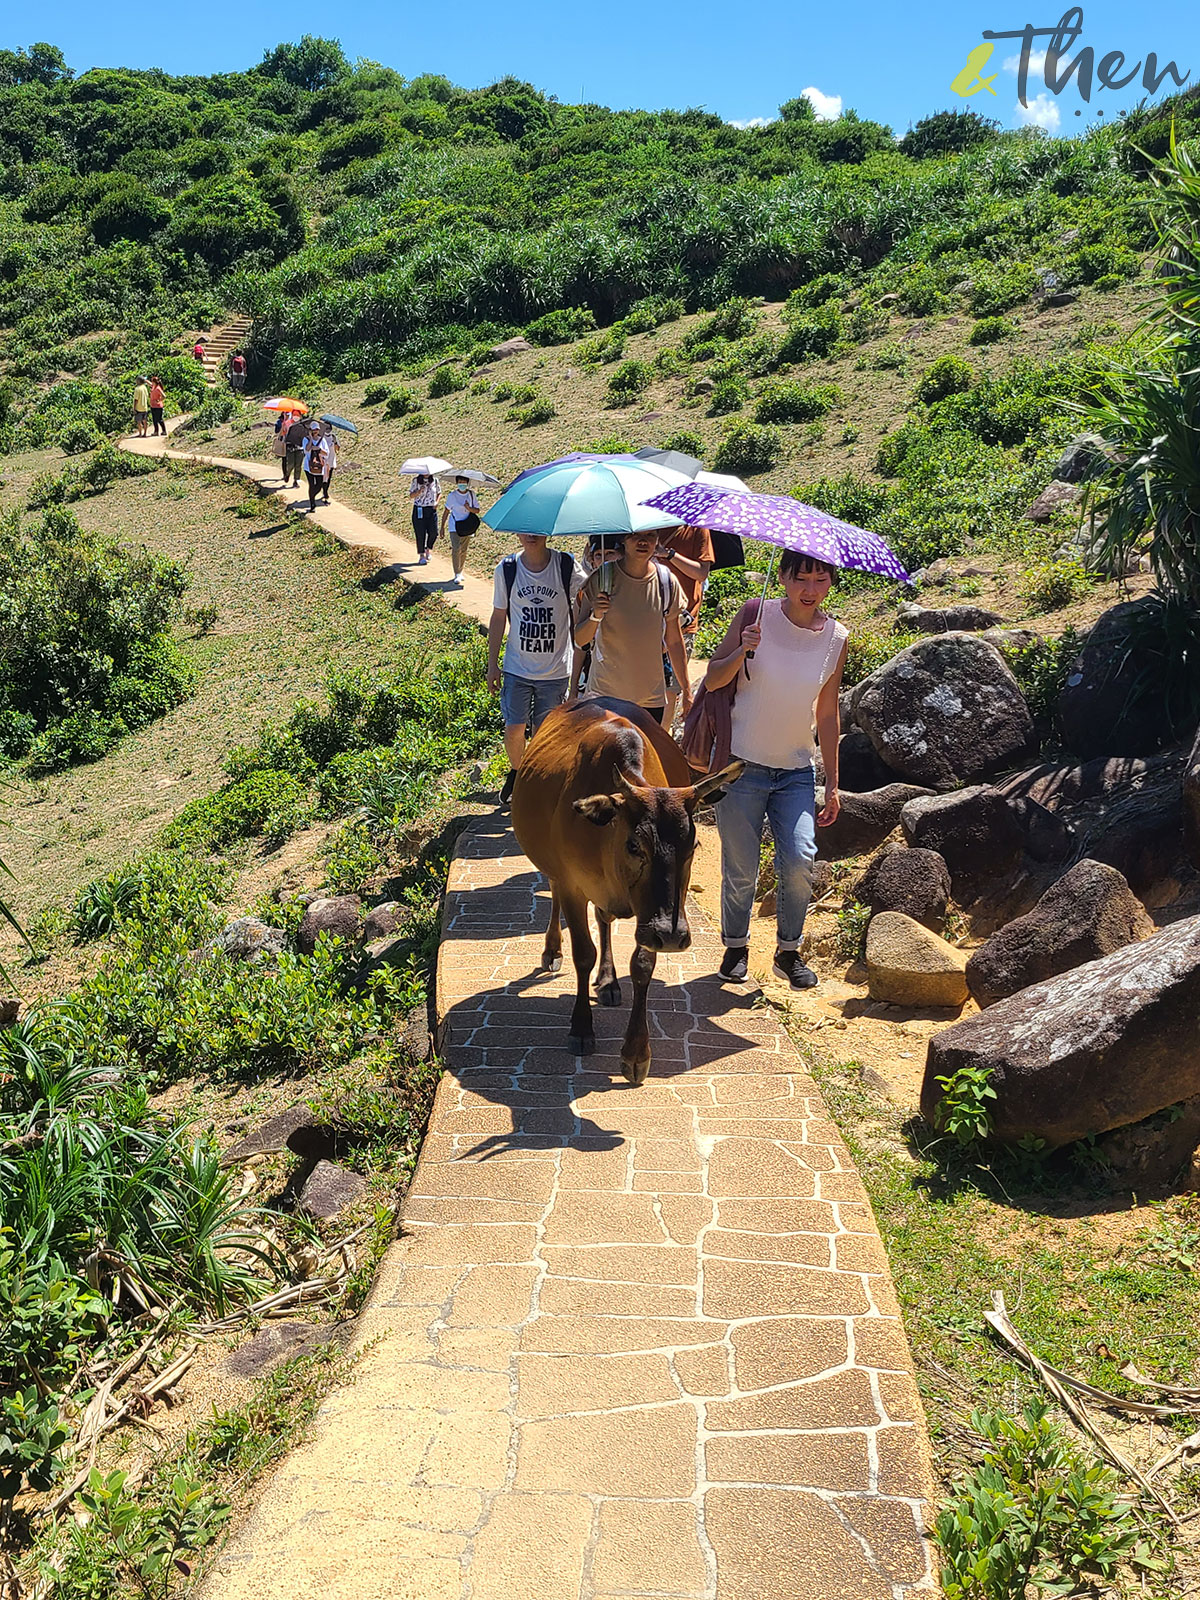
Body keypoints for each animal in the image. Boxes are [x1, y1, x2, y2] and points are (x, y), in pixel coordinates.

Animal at [515, 694, 748, 1081]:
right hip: (555, 872)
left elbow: (642, 964)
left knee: (605, 919)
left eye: (693, 847)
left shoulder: (651, 915)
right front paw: (581, 1028)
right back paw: (552, 951)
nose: (672, 936)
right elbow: (583, 954)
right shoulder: (573, 884)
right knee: (555, 896)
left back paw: (609, 981)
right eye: (635, 845)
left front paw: (636, 1052)